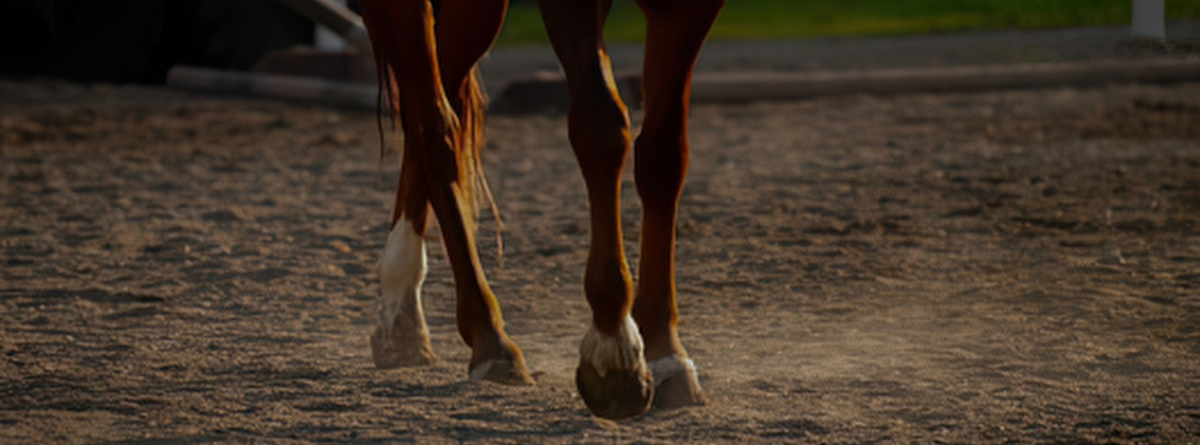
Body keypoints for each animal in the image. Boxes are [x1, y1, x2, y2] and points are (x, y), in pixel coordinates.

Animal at [360, 0, 724, 419]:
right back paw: (487, 336)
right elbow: (602, 129)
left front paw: (666, 353)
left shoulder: (690, 9)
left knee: (437, 101)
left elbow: (663, 155)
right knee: (434, 126)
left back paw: (403, 314)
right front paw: (614, 344)